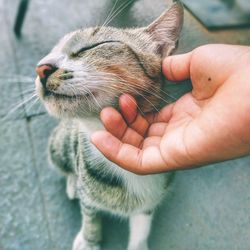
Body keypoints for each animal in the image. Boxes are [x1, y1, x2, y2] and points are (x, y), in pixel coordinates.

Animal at [34, 2, 184, 250]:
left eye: (93, 46)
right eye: (51, 52)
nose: (41, 68)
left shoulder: (149, 201)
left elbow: (141, 229)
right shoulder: (88, 197)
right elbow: (89, 215)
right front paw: (89, 240)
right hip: (58, 145)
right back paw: (72, 182)